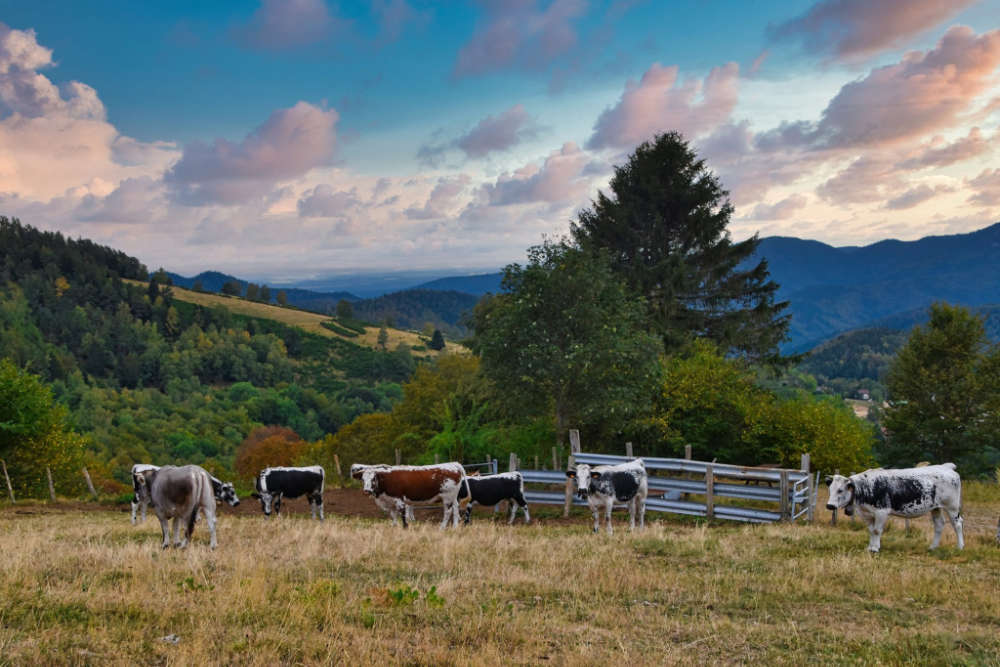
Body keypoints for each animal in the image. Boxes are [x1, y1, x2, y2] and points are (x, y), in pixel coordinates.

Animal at [824, 464, 964, 552]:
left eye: (840, 490)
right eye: (830, 489)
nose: (829, 505)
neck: (867, 486)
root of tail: (946, 467)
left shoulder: (881, 512)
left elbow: (877, 530)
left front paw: (875, 549)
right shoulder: (866, 514)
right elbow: (871, 530)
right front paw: (870, 547)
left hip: (952, 507)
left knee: (957, 524)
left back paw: (960, 547)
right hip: (935, 508)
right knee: (939, 524)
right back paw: (933, 547)